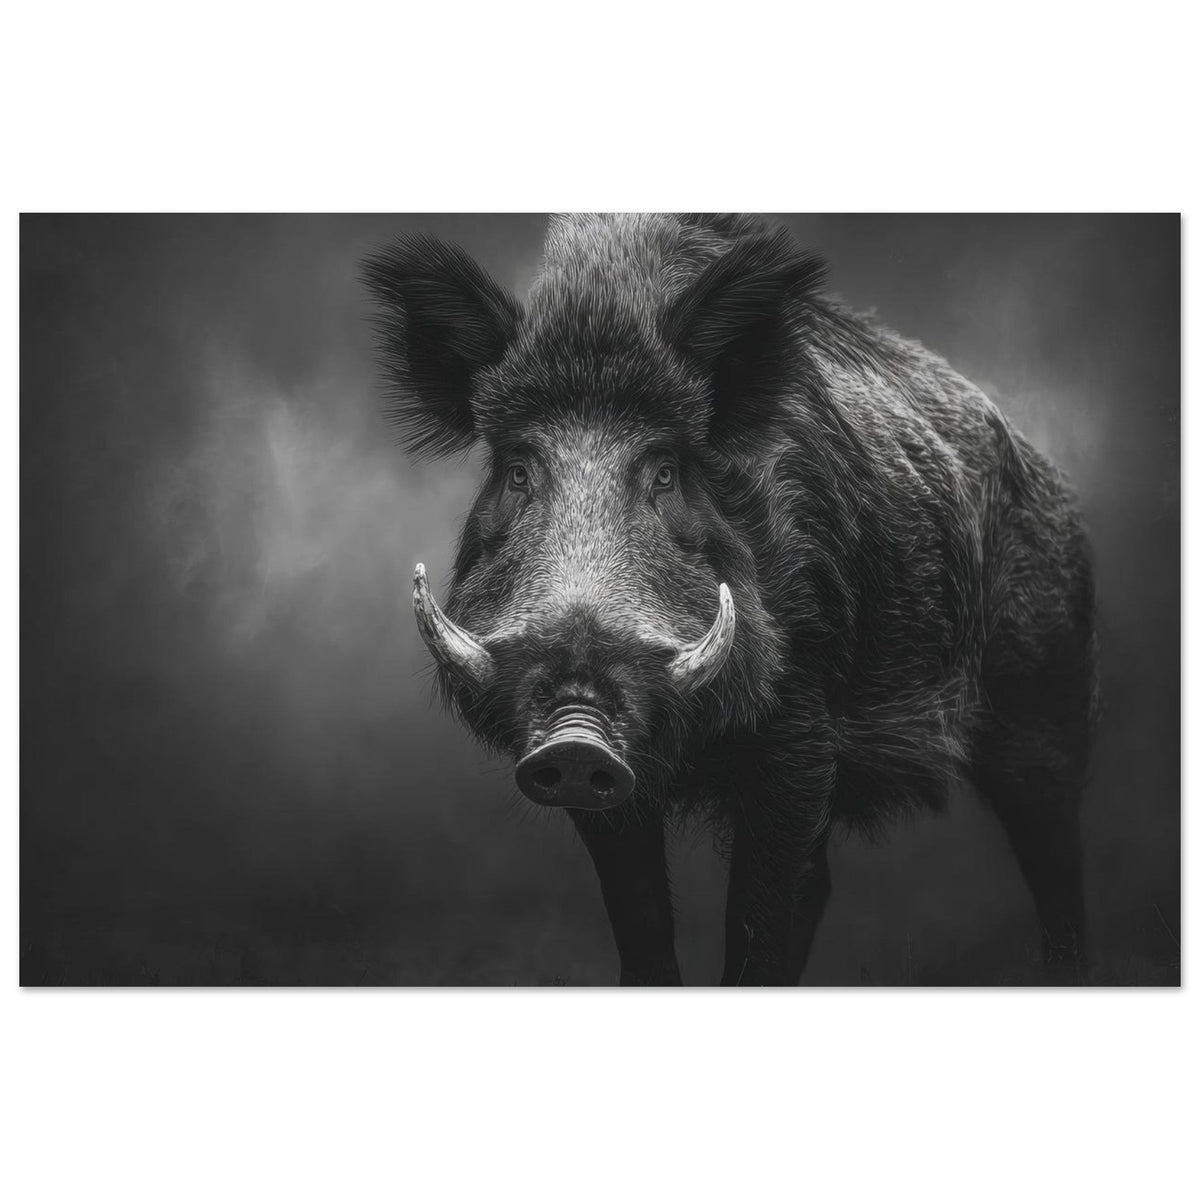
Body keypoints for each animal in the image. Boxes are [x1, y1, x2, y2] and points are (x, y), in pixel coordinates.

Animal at [362, 213, 1098, 985]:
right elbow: (643, 916)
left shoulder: (801, 732)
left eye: (665, 471)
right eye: (517, 471)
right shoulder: (593, 783)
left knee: (1054, 856)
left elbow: (760, 914)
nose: (577, 731)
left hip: (1046, 700)